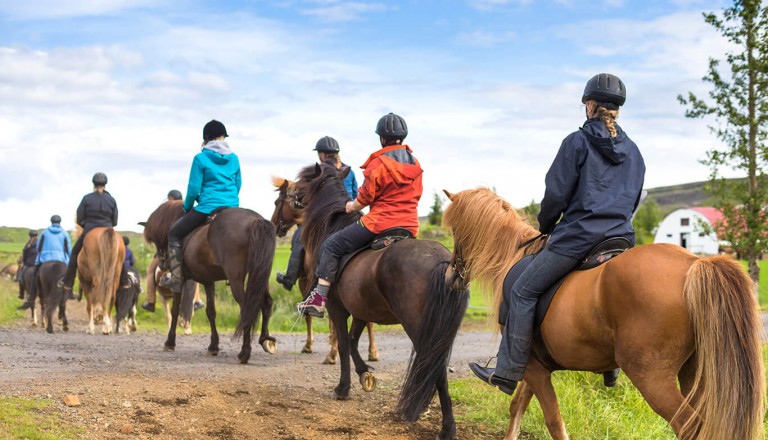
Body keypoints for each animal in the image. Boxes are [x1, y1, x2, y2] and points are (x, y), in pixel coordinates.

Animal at [142, 200, 278, 364]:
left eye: (156, 240)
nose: (162, 265)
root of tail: (255, 220)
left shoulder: (179, 282)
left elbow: (175, 310)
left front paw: (170, 342)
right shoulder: (208, 281)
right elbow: (211, 312)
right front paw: (213, 345)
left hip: (236, 279)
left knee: (248, 308)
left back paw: (245, 353)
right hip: (261, 274)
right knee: (266, 303)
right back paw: (265, 340)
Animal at [272, 176, 380, 364]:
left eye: (277, 202)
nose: (273, 225)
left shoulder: (306, 281)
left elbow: (309, 314)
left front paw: (312, 346)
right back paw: (372, 352)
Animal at [296, 163, 468, 438]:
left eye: (303, 181)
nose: (293, 196)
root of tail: (443, 263)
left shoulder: (337, 307)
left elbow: (342, 343)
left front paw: (343, 388)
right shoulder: (361, 311)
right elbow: (353, 341)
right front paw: (365, 374)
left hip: (420, 328)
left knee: (435, 366)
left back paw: (444, 425)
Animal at [440, 187, 764, 440]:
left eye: (456, 230)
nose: (451, 276)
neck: (515, 257)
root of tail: (693, 264)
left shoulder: (532, 367)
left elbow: (553, 422)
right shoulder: (536, 366)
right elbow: (518, 407)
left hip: (652, 377)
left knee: (688, 427)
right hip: (696, 372)